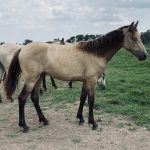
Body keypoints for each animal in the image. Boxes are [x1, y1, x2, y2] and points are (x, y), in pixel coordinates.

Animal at [3, 21, 148, 132]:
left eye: (139, 37)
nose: (145, 56)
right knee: (22, 98)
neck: (95, 53)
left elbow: (83, 97)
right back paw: (24, 126)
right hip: (31, 80)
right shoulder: (92, 80)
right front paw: (93, 123)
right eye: (134, 38)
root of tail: (22, 48)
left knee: (35, 98)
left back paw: (44, 120)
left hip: (38, 78)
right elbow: (91, 100)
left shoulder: (85, 81)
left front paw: (81, 118)